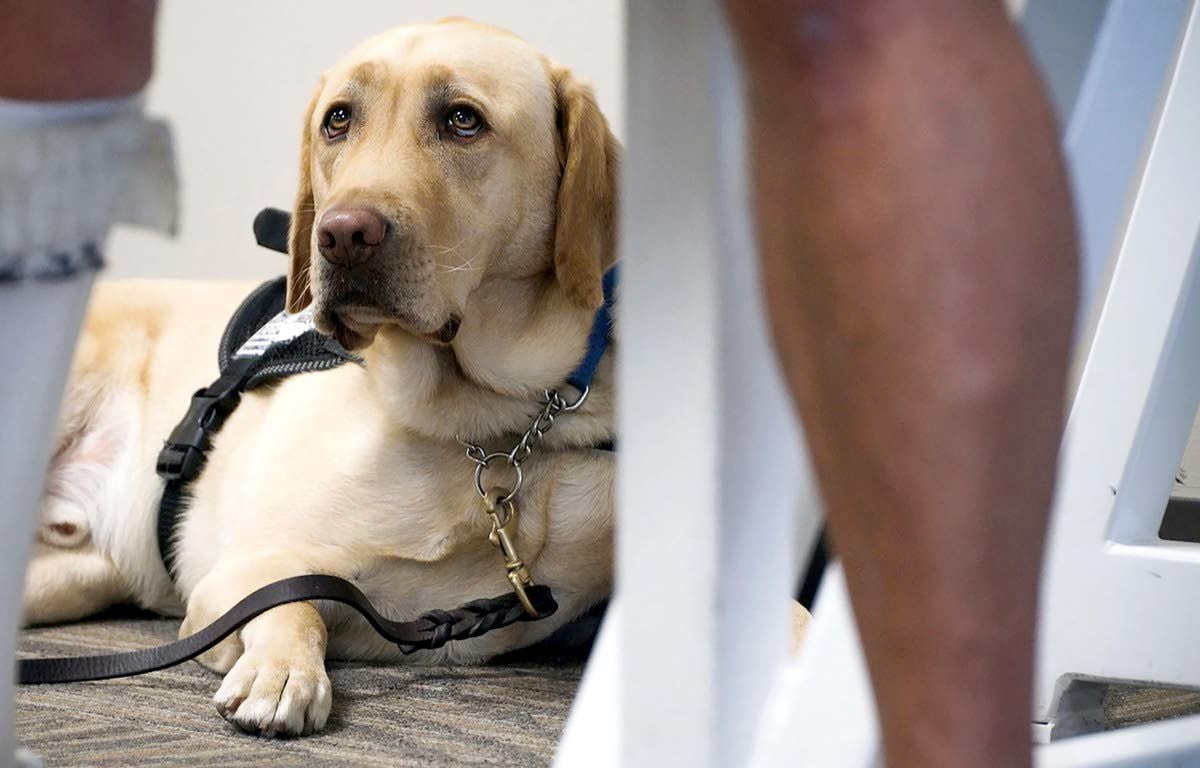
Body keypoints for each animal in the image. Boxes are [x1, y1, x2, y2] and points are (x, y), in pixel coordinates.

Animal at [23, 19, 614, 739]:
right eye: (338, 120)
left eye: (463, 120)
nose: (342, 234)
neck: (496, 422)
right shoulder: (239, 575)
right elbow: (294, 604)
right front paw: (284, 673)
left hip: (75, 576)